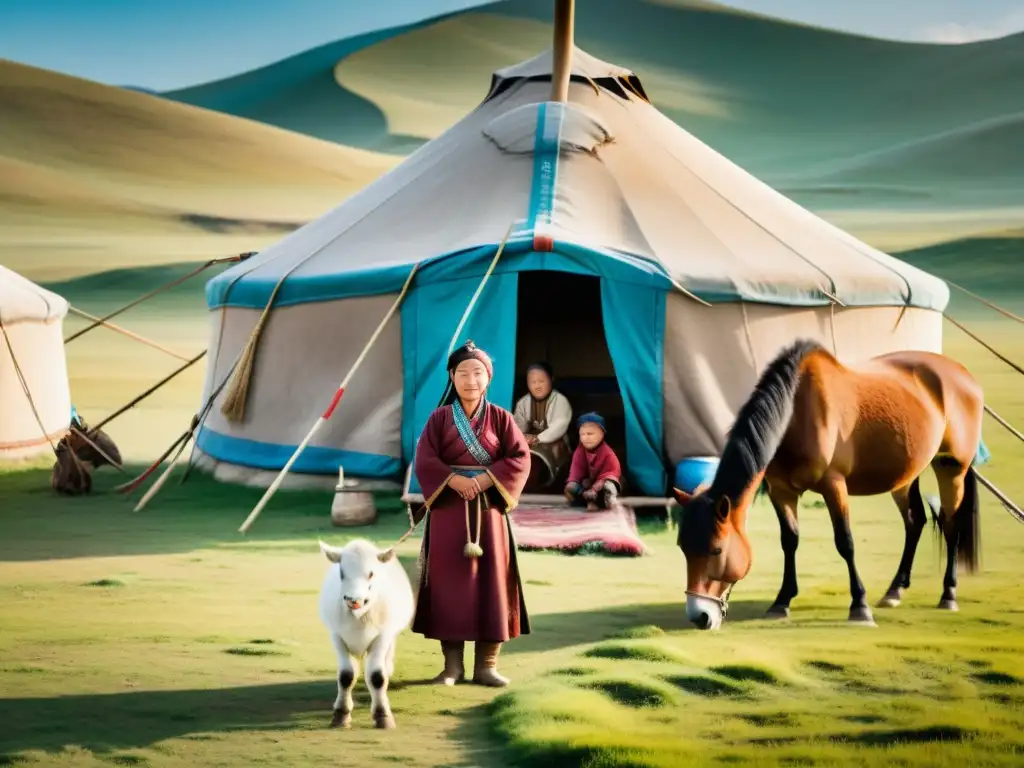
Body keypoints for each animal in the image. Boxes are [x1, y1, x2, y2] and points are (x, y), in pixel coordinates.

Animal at [319, 536, 415, 729]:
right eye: (342, 573)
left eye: (371, 574)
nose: (353, 599)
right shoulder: (336, 635)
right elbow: (346, 675)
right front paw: (341, 714)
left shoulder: (383, 635)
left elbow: (377, 676)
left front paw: (382, 715)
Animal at [671, 342, 983, 630]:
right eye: (683, 548)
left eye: (716, 550)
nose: (699, 616)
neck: (796, 411)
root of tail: (963, 375)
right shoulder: (781, 490)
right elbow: (789, 540)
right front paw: (782, 601)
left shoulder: (834, 485)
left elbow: (845, 542)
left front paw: (860, 607)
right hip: (905, 477)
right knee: (915, 521)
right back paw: (895, 590)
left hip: (951, 468)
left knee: (950, 525)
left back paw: (948, 595)